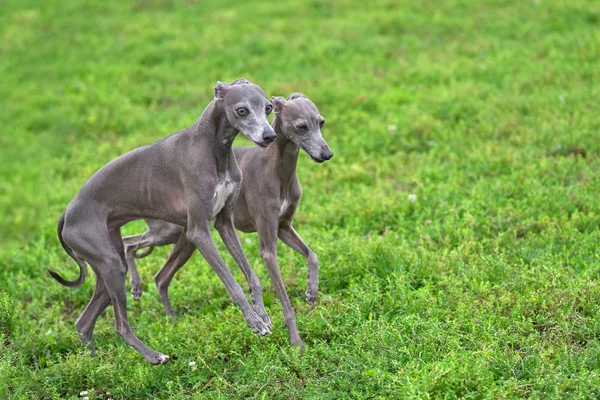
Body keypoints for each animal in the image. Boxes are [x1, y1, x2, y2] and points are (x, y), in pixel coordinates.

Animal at [48, 79, 276, 366]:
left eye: (268, 107)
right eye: (242, 110)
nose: (270, 137)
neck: (215, 150)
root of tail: (67, 213)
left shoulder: (225, 224)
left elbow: (252, 275)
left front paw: (263, 315)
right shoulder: (198, 232)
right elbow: (232, 284)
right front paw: (254, 323)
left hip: (109, 265)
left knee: (83, 322)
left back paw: (96, 364)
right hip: (110, 263)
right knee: (120, 325)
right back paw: (154, 355)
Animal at [122, 93, 332, 346]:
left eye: (321, 122)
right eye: (301, 126)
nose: (327, 154)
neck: (277, 170)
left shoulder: (284, 227)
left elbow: (313, 255)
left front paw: (311, 292)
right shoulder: (268, 248)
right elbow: (284, 300)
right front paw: (296, 342)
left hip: (185, 240)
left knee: (161, 277)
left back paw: (172, 320)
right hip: (166, 231)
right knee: (129, 243)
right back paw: (136, 287)